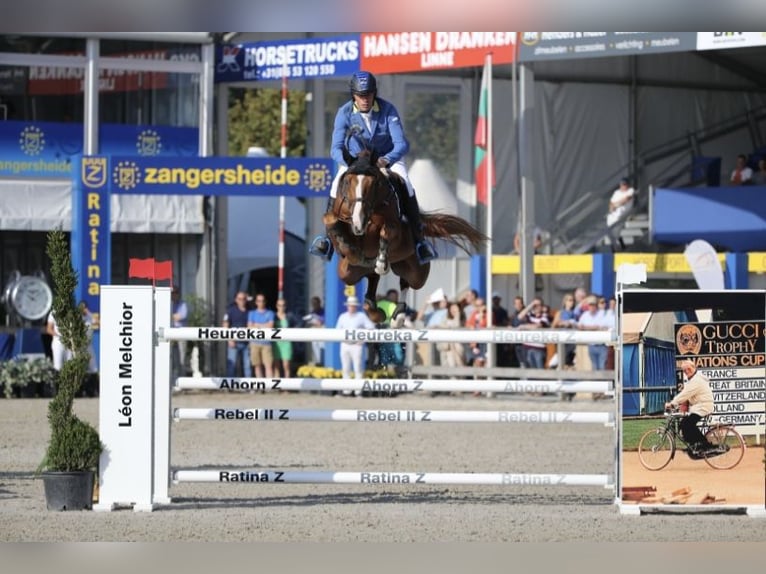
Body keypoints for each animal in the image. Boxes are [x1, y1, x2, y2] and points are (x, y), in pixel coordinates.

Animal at [322, 147, 488, 324]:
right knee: (369, 281)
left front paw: (381, 262)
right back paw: (377, 311)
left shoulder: (395, 228)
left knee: (407, 282)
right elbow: (333, 224)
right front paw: (347, 246)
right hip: (350, 273)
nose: (358, 223)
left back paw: (398, 315)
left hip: (417, 271)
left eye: (374, 183)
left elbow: (386, 232)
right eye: (347, 182)